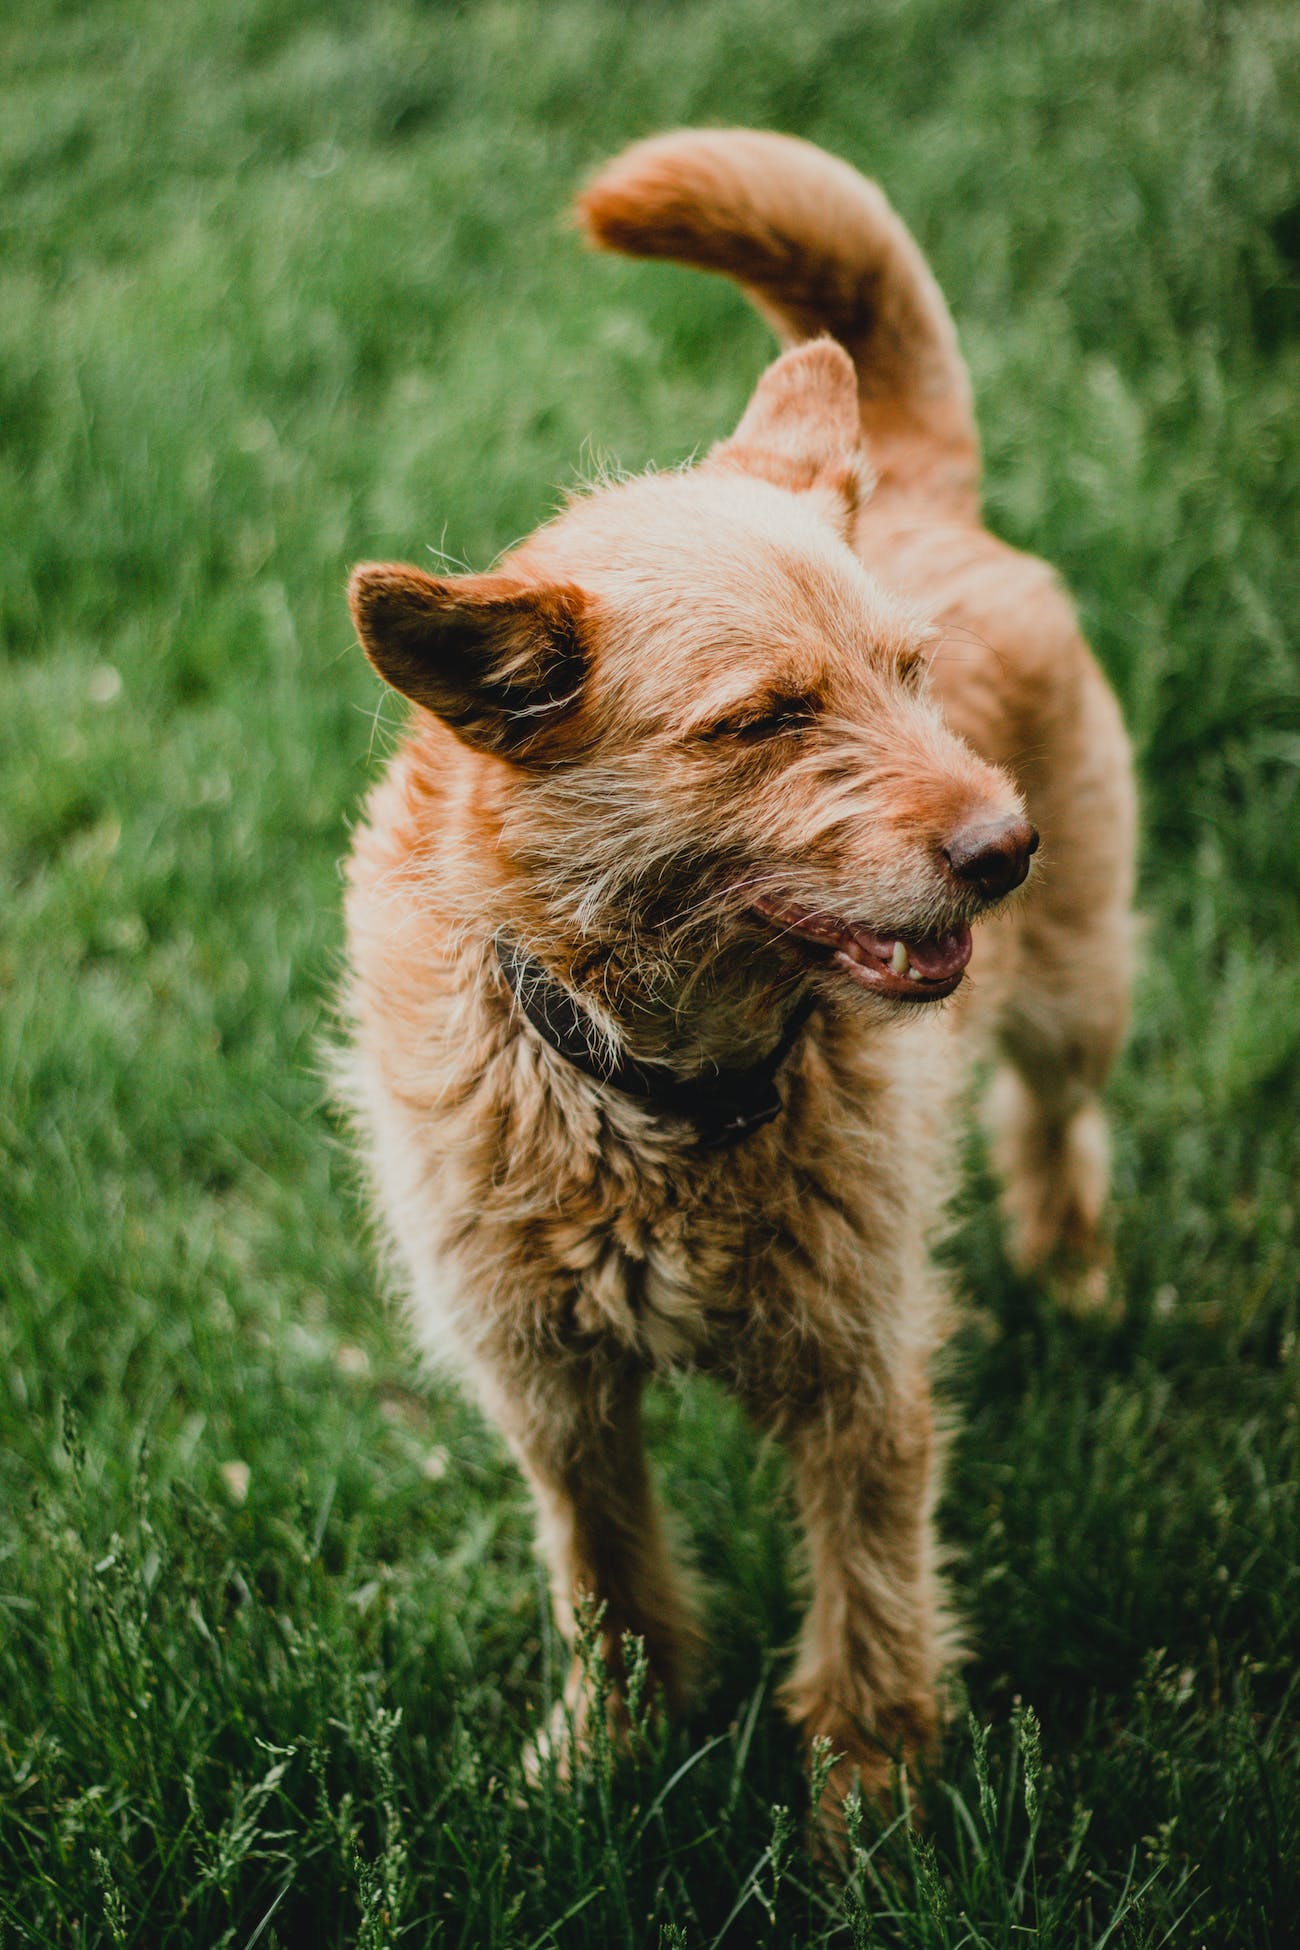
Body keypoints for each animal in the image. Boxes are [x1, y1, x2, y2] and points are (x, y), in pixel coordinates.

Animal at [339, 133, 1138, 1809]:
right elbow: (607, 1579)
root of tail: (916, 482)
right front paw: (605, 1753)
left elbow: (871, 1601)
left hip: (1077, 995)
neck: (653, 1093)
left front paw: (872, 1804)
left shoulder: (860, 1372)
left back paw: (1077, 1274)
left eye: (909, 672)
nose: (1004, 847)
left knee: (1056, 1127)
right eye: (766, 719)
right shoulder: (552, 1391)